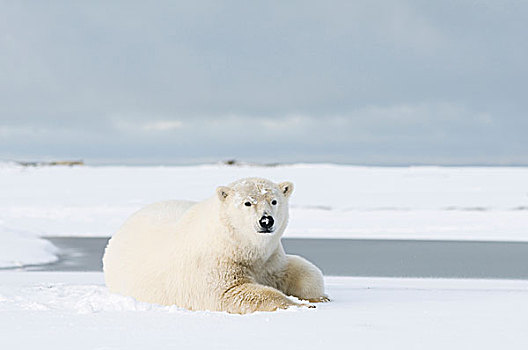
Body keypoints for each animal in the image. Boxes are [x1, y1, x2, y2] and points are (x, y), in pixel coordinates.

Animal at [102, 178, 326, 314]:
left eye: (274, 201)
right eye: (247, 203)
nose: (266, 221)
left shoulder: (270, 259)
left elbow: (301, 270)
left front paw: (319, 299)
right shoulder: (213, 263)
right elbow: (232, 292)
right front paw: (297, 305)